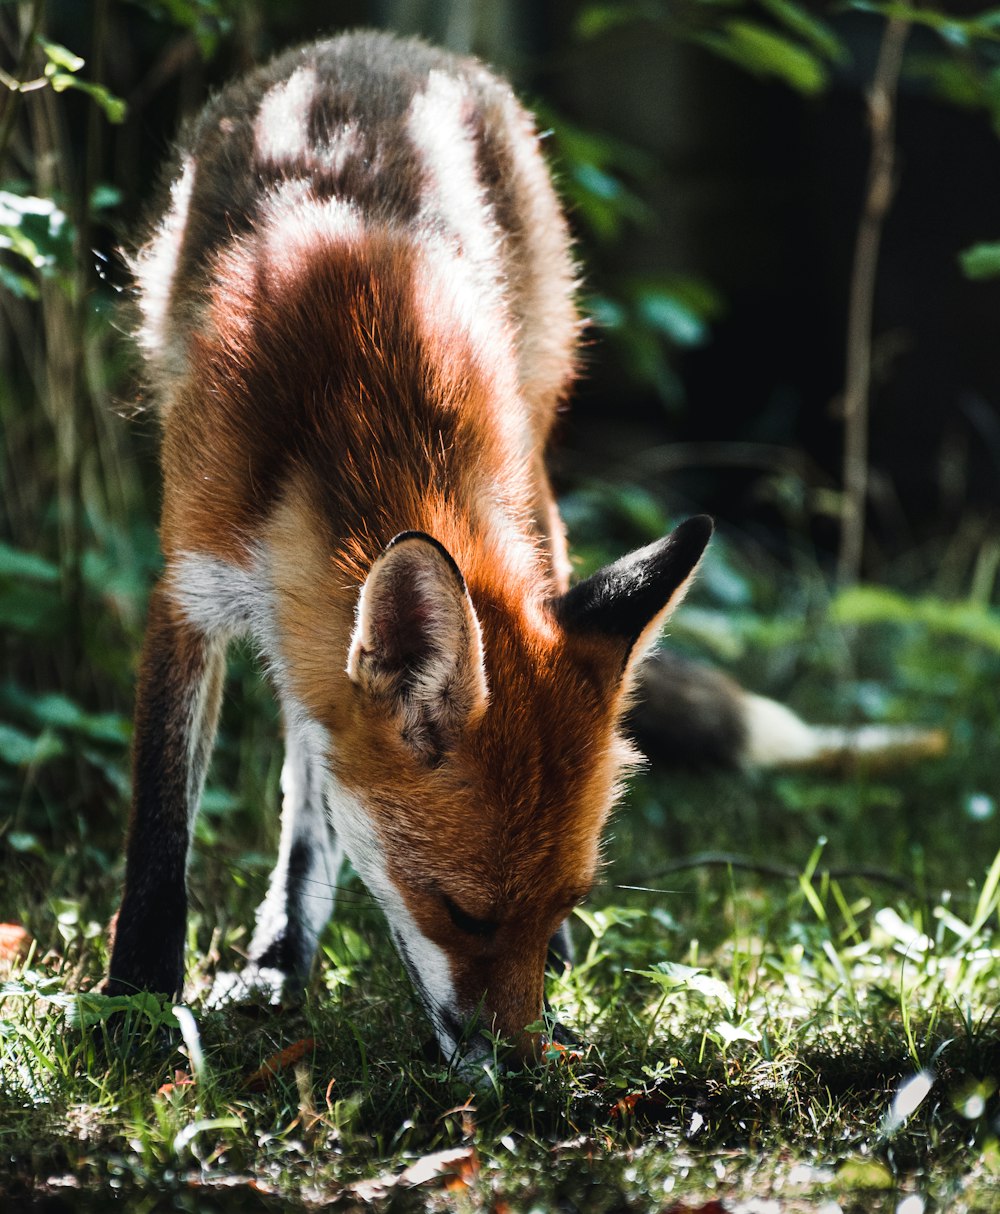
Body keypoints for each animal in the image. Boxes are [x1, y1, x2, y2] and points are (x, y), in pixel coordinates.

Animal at [103, 23, 936, 1058]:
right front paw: (134, 1001)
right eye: (465, 913)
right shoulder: (191, 581)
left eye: (561, 905)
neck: (361, 396)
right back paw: (277, 957)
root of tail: (391, 44)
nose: (525, 1070)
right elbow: (161, 822)